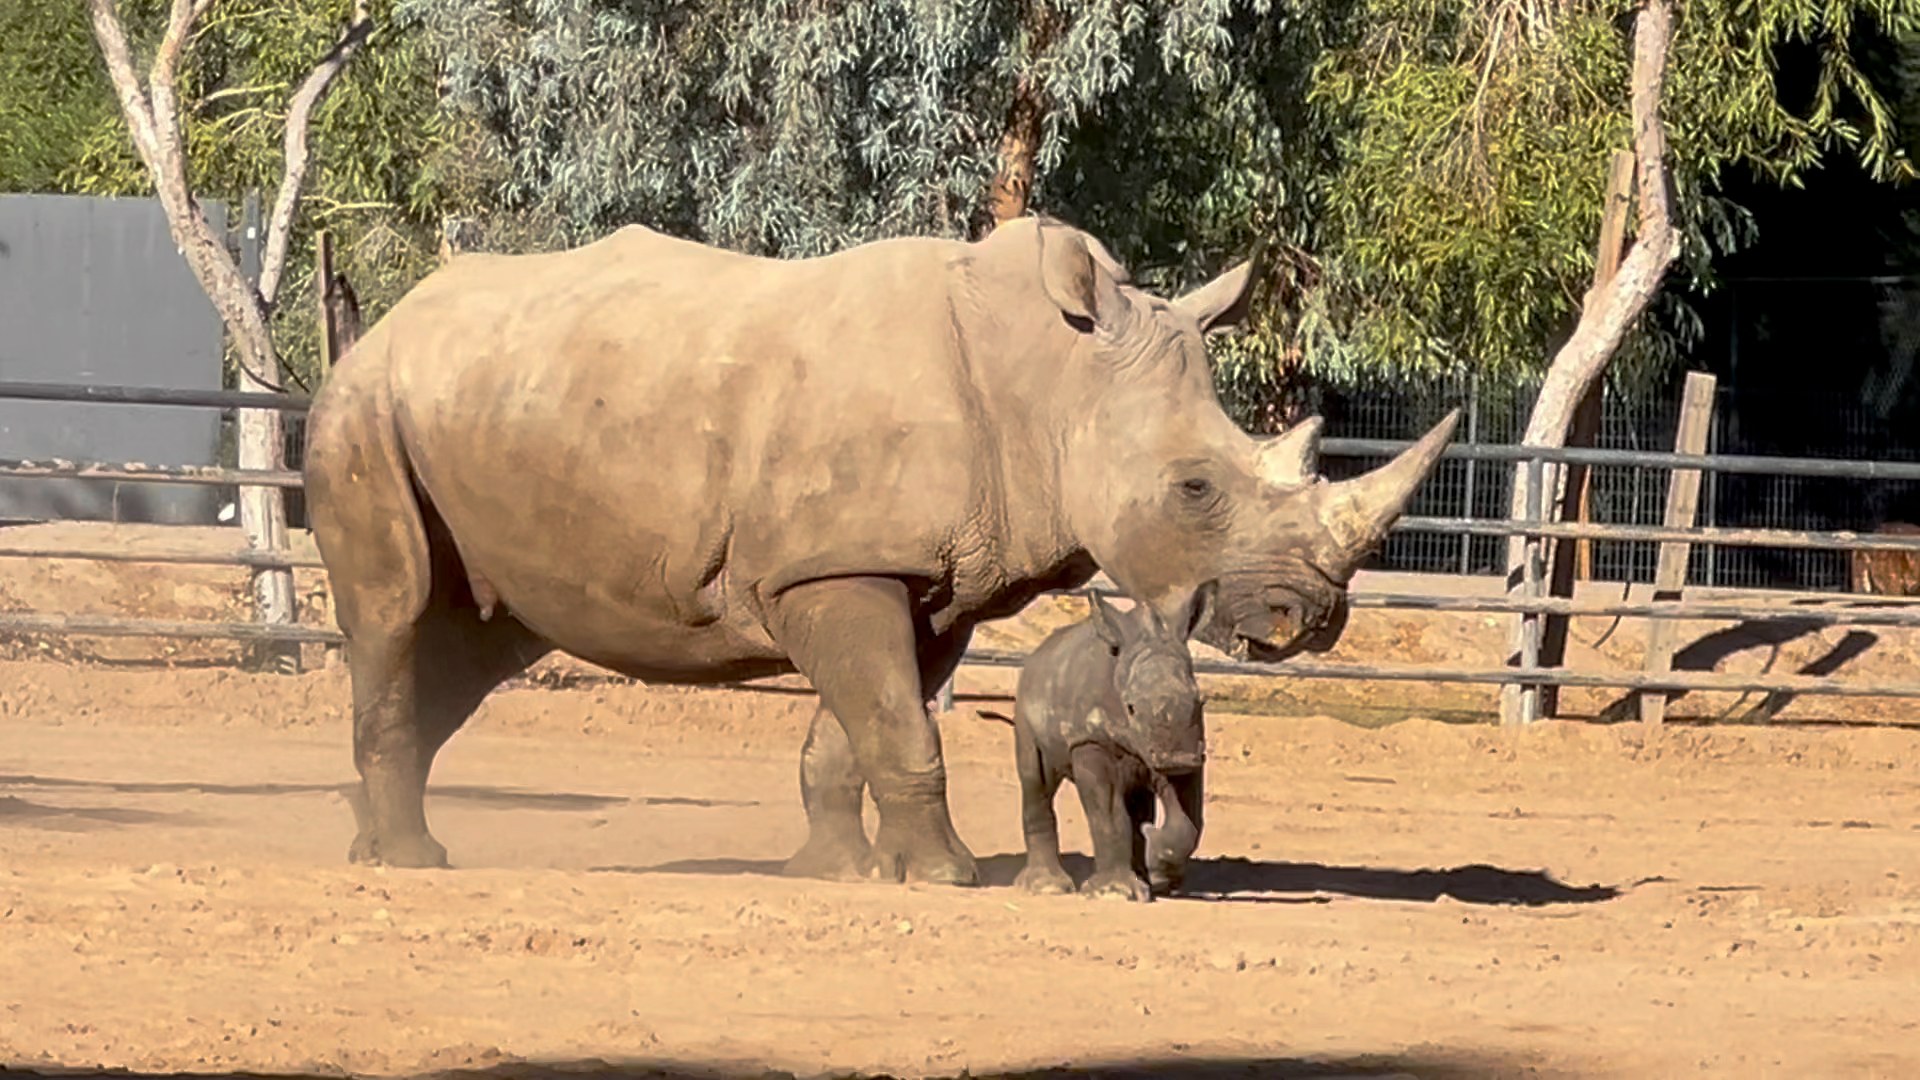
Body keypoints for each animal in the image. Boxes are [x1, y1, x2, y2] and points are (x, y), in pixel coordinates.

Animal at [978, 583, 1217, 903]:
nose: (1177, 758)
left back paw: (1143, 876)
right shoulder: (1089, 739)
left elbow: (1186, 823)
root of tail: (1039, 651)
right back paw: (1047, 887)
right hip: (1025, 702)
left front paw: (1155, 865)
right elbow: (1108, 813)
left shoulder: (1186, 746)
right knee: (1035, 780)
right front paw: (1113, 892)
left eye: (1201, 702)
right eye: (1130, 708)